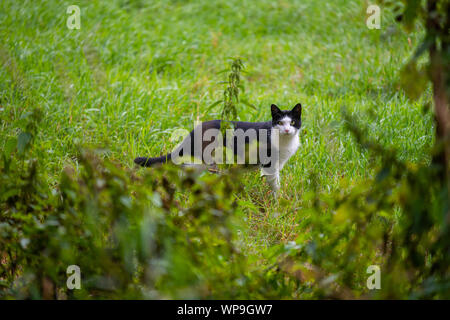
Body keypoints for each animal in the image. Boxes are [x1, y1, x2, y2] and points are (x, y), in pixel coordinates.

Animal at [134, 103, 302, 192]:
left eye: (293, 122)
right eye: (280, 123)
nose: (287, 130)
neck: (285, 141)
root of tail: (193, 131)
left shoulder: (279, 163)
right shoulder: (269, 164)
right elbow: (275, 184)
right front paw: (277, 203)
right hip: (201, 159)